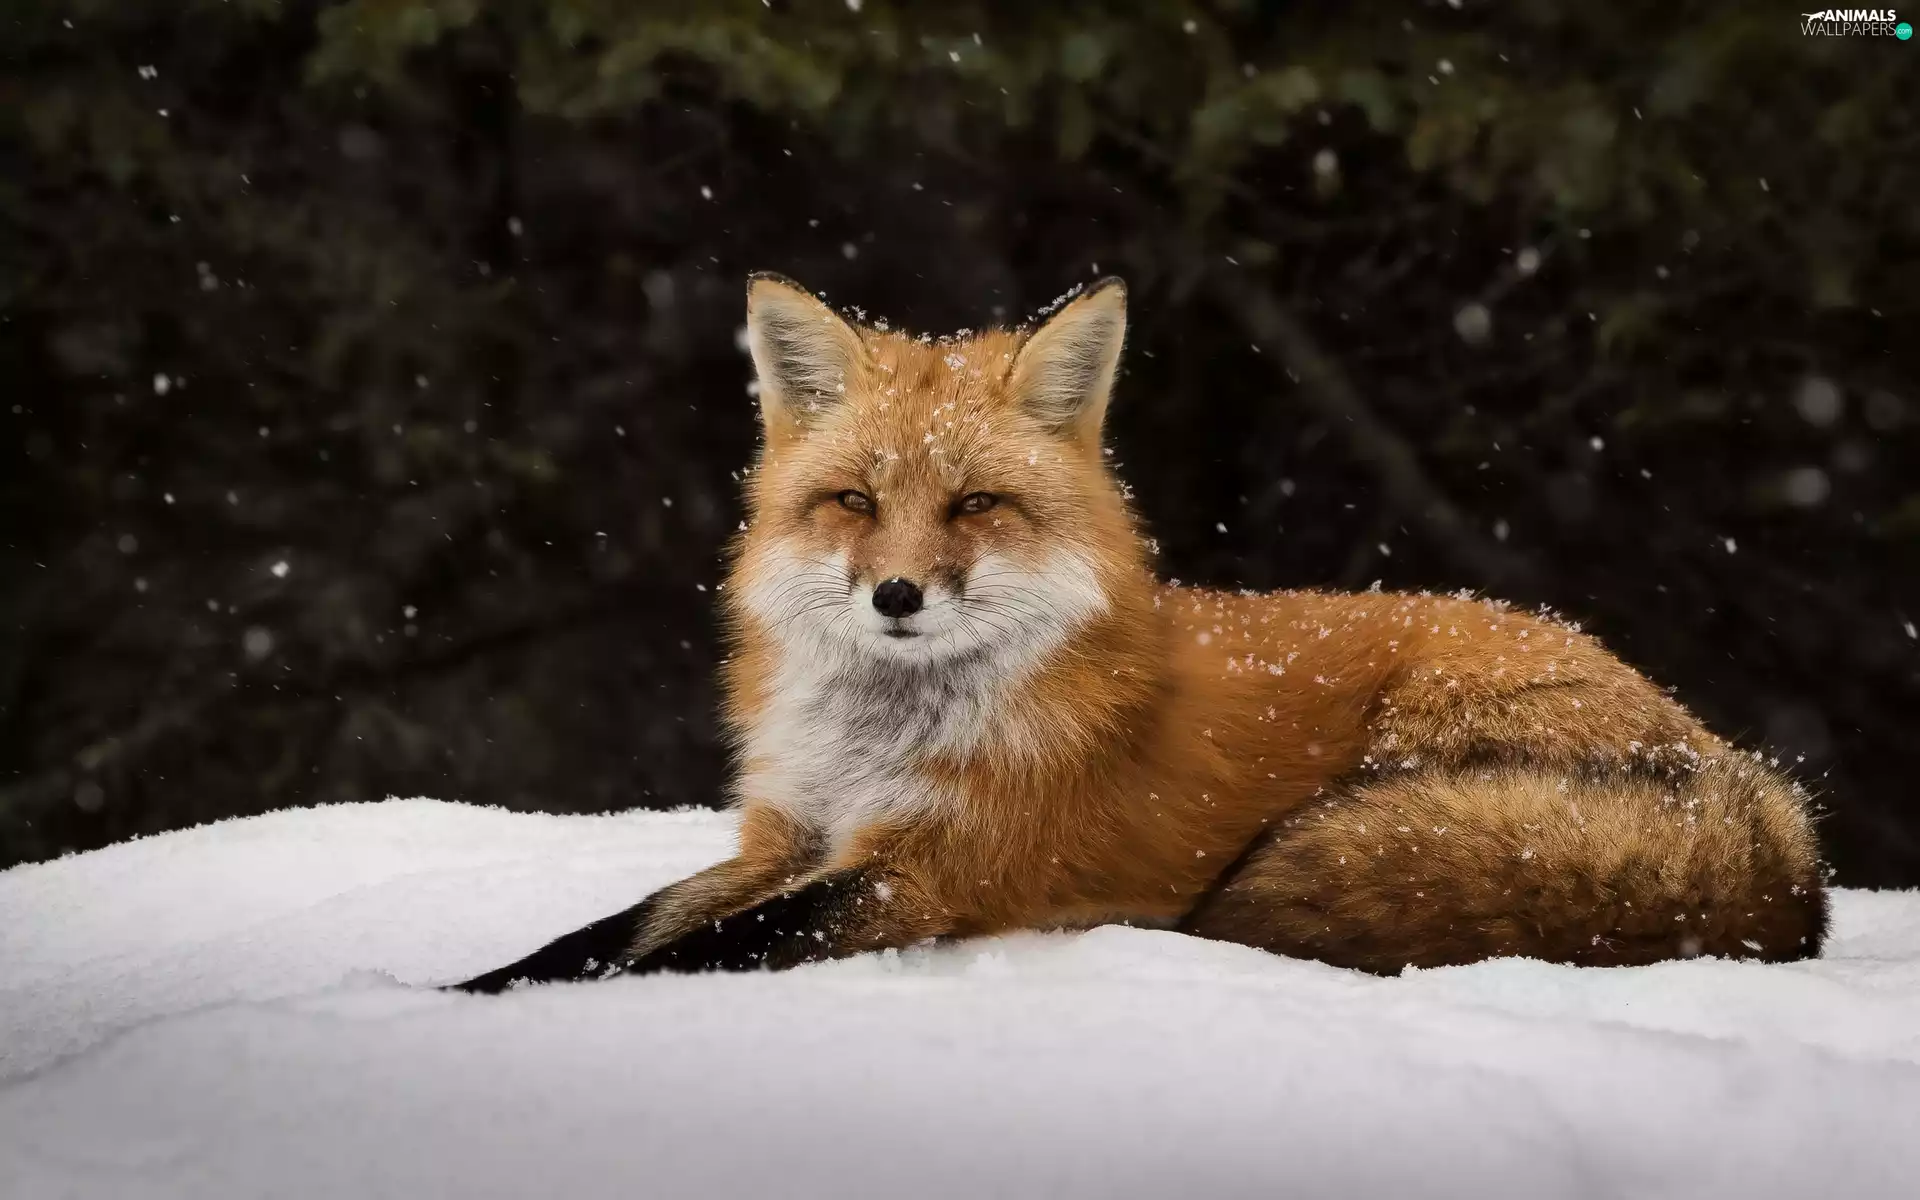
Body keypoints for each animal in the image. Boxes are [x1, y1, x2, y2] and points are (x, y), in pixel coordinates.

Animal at [454, 273, 1827, 992]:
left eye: (974, 506)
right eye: (854, 502)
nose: (896, 596)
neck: (883, 740)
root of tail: (1767, 815)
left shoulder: (933, 873)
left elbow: (688, 955)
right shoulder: (786, 836)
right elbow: (607, 932)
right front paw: (458, 990)